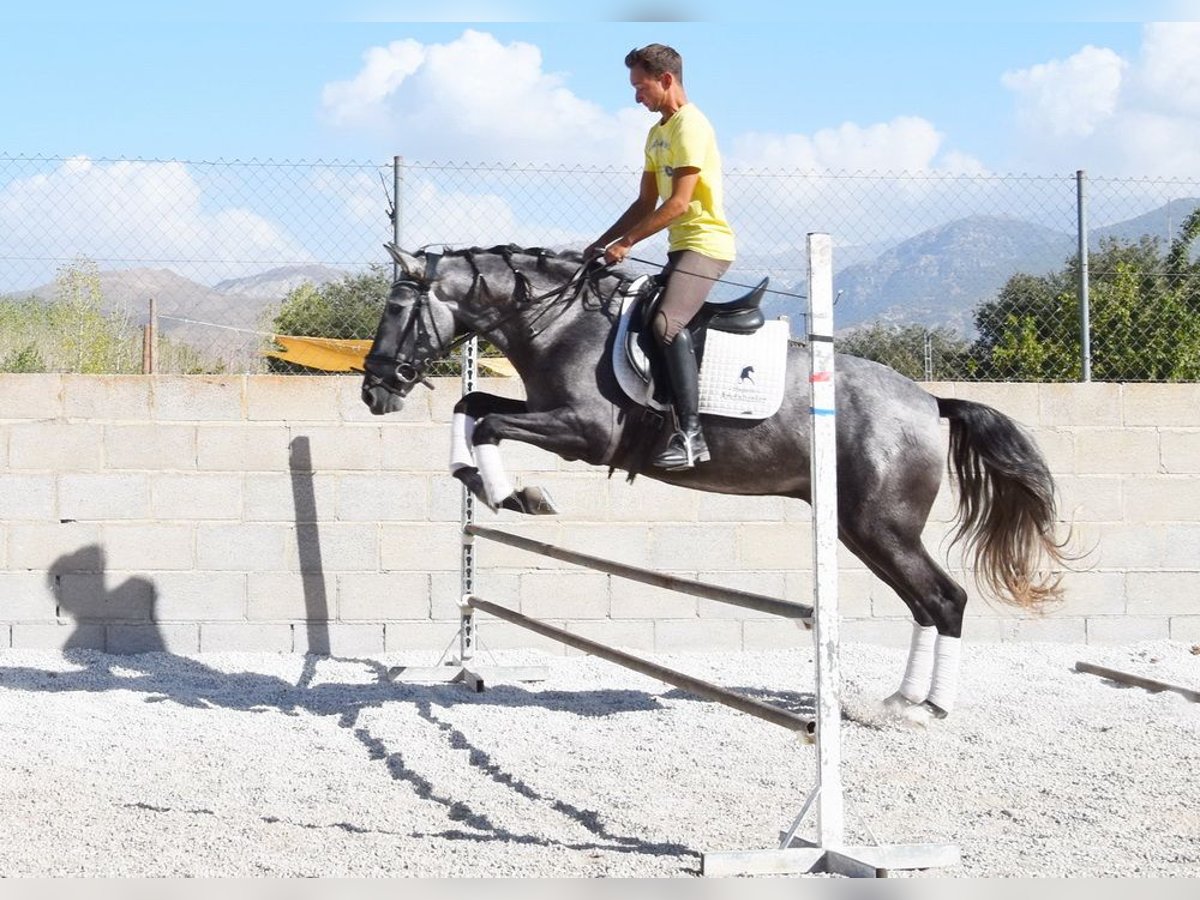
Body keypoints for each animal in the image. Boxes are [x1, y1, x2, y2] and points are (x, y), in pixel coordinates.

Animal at [360, 243, 1072, 725]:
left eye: (396, 308)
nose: (373, 391)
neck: (561, 323)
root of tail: (929, 402)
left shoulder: (585, 434)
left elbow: (487, 421)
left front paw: (515, 495)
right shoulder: (547, 416)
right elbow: (471, 406)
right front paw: (476, 480)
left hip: (880, 526)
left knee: (944, 599)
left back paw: (926, 710)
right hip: (859, 528)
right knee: (925, 603)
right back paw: (899, 701)